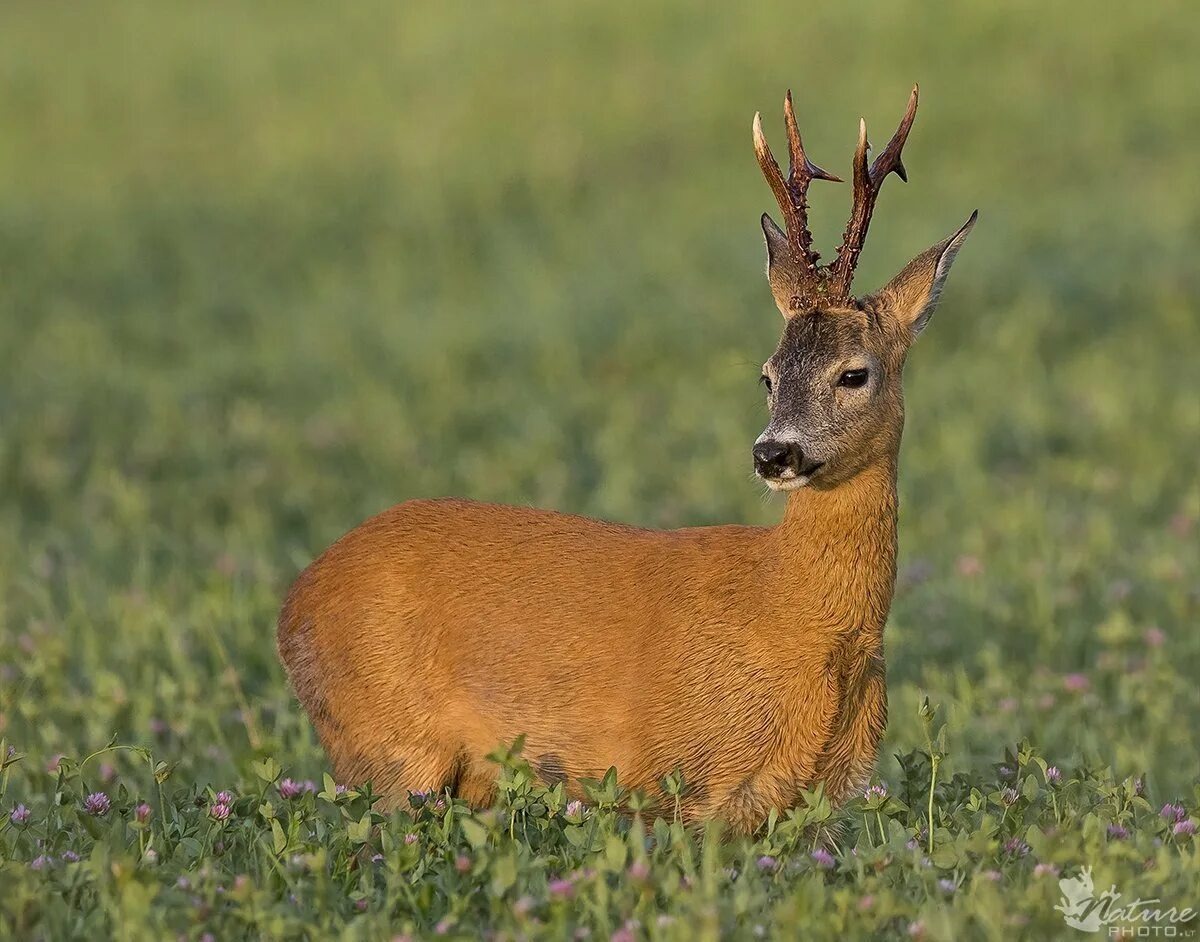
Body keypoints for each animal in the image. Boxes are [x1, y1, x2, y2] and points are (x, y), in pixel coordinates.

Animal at [278, 84, 974, 835]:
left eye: (853, 374)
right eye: (767, 375)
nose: (774, 453)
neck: (797, 613)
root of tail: (293, 604)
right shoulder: (698, 782)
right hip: (389, 748)